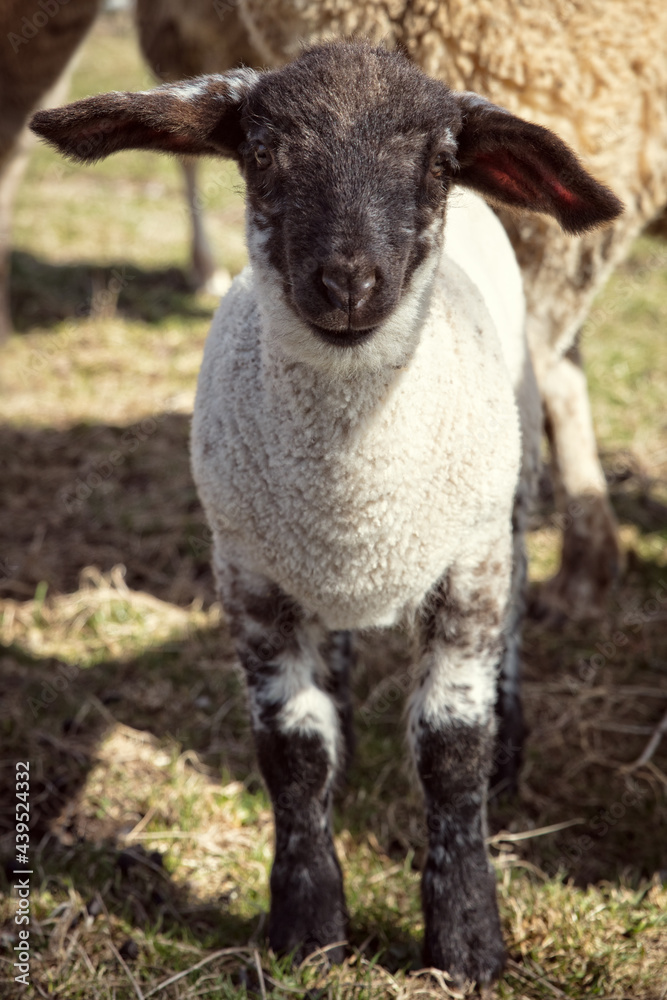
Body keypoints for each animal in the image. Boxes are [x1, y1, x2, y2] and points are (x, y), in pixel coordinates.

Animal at [30, 41, 621, 985]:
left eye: (439, 164)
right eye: (262, 152)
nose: (347, 282)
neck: (352, 491)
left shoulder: (467, 565)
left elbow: (450, 747)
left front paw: (464, 941)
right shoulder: (248, 573)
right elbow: (292, 751)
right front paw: (306, 927)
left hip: (514, 484)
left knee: (520, 594)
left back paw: (510, 739)